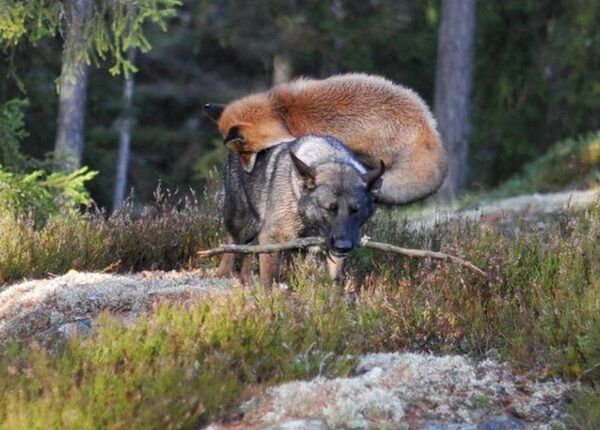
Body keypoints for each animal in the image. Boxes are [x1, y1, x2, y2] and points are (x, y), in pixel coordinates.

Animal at [218, 134, 382, 288]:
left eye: (355, 210)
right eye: (329, 208)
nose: (343, 246)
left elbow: (335, 282)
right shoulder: (272, 237)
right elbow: (267, 281)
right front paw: (266, 298)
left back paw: (246, 280)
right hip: (241, 220)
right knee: (233, 244)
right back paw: (224, 274)